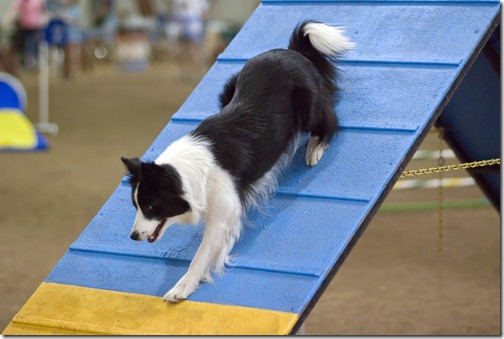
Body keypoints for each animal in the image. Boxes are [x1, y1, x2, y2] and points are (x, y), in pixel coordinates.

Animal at [121, 20, 354, 302]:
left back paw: (315, 149)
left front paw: (181, 287)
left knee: (330, 117)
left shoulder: (224, 213)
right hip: (229, 87)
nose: (133, 236)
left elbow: (200, 256)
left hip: (307, 104)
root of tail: (291, 51)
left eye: (151, 206)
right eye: (135, 206)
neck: (185, 174)